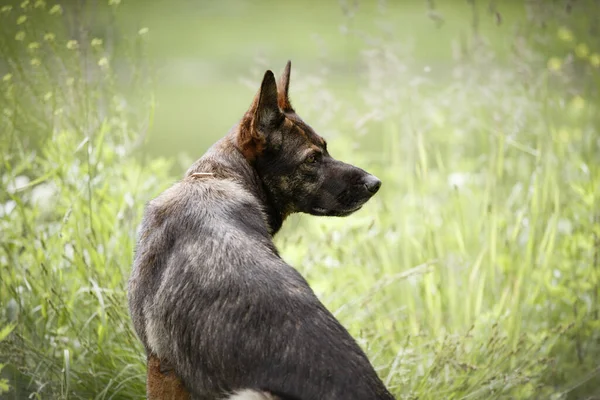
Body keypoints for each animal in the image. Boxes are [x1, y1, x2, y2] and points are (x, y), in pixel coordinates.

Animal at [127, 60, 394, 400]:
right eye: (314, 157)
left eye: (325, 149)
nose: (375, 183)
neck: (218, 177)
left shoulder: (161, 365)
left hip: (246, 393)